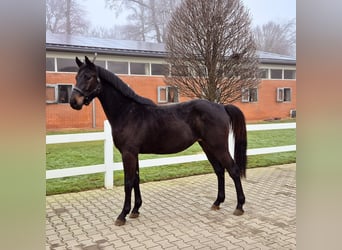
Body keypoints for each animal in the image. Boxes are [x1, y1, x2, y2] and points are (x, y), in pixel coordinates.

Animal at [70, 56, 246, 227]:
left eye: (88, 77)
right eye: (76, 77)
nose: (74, 101)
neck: (127, 112)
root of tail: (221, 107)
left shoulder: (128, 154)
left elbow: (128, 182)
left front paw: (122, 215)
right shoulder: (134, 154)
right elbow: (136, 179)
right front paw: (135, 210)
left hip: (219, 147)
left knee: (233, 170)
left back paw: (239, 206)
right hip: (207, 146)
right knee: (219, 170)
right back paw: (217, 202)